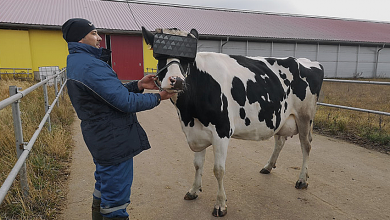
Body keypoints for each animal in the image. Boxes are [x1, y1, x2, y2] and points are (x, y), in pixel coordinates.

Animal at [142, 27, 324, 217]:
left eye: (187, 60)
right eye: (159, 56)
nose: (176, 80)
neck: (188, 114)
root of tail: (308, 61)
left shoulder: (222, 131)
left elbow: (218, 170)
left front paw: (220, 205)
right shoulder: (196, 132)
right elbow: (198, 164)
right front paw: (193, 191)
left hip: (305, 116)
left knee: (306, 145)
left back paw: (302, 180)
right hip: (281, 117)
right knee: (280, 140)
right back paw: (268, 166)